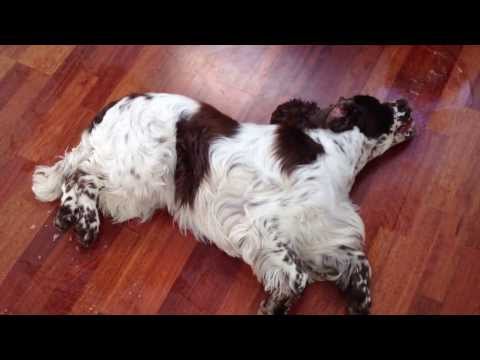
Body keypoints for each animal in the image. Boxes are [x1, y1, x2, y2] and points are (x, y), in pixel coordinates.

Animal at [31, 93, 414, 316]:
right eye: (381, 106)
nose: (407, 104)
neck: (335, 151)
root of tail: (109, 111)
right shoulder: (265, 224)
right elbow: (297, 276)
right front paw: (275, 305)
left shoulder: (322, 234)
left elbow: (359, 263)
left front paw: (359, 300)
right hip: (137, 172)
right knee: (79, 175)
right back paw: (82, 222)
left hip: (136, 193)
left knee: (79, 176)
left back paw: (74, 218)